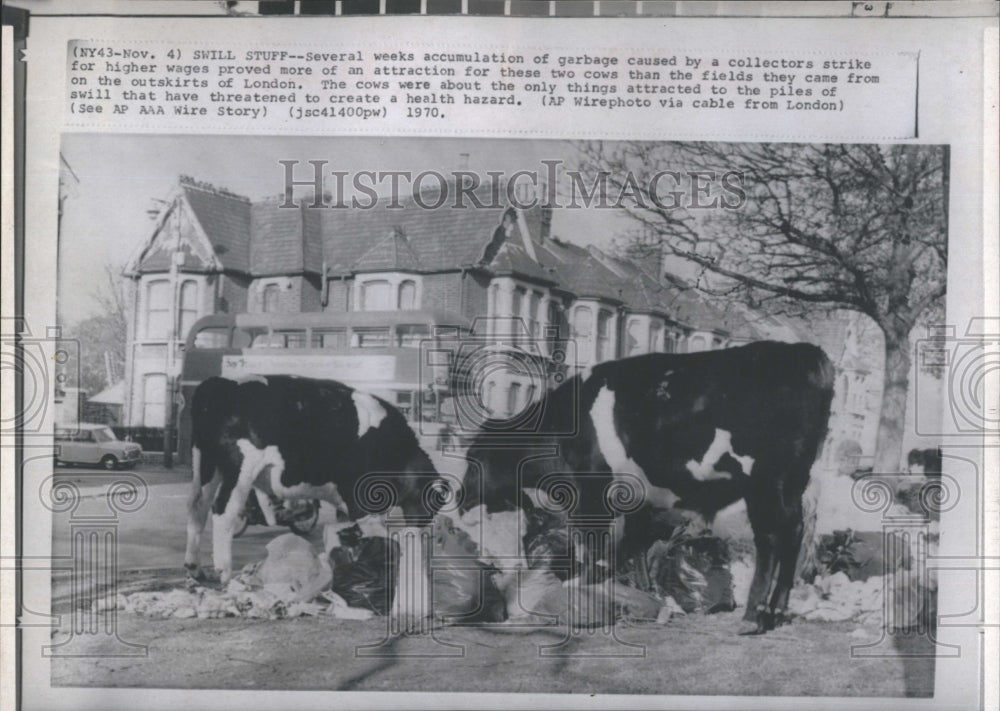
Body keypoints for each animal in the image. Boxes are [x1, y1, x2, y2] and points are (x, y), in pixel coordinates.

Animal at [184, 376, 442, 624]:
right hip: (240, 468)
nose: (424, 524)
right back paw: (224, 572)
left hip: (205, 464)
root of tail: (222, 383)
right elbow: (377, 533)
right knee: (223, 511)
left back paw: (194, 568)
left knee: (197, 508)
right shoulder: (361, 499)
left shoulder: (346, 503)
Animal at [460, 340, 836, 636]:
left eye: (474, 456)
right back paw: (776, 612)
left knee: (771, 538)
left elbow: (591, 542)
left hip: (765, 482)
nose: (459, 498)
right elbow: (636, 543)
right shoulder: (637, 498)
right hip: (793, 483)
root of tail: (802, 351)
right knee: (794, 532)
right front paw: (644, 591)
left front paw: (579, 583)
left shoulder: (591, 489)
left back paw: (752, 617)